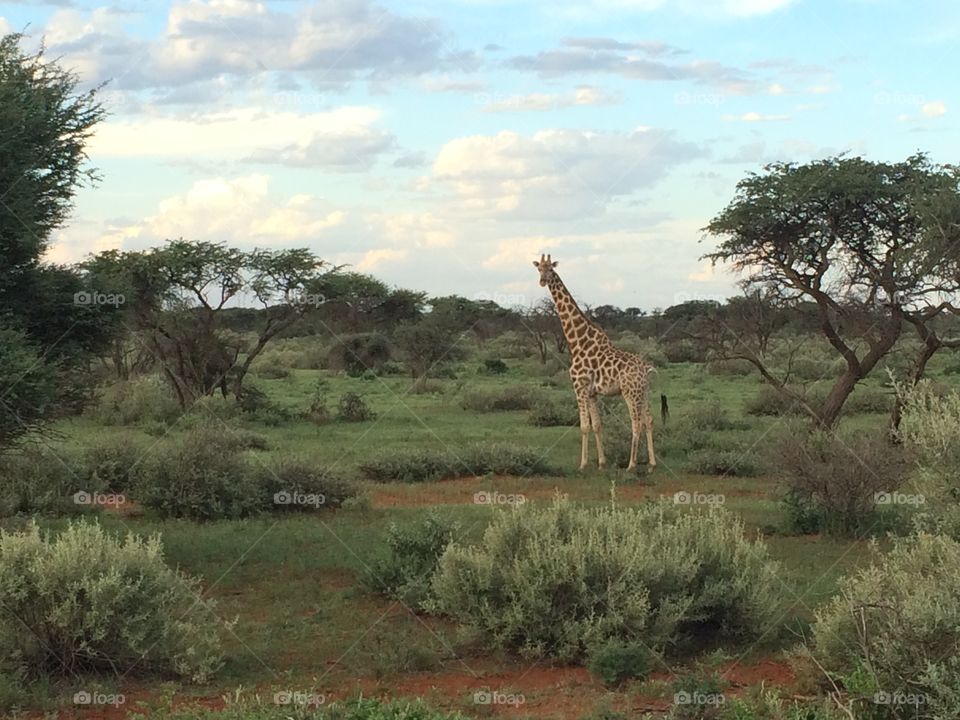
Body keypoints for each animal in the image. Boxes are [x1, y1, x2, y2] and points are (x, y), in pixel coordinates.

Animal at [533, 254, 657, 472]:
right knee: (648, 420)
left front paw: (582, 464)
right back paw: (652, 463)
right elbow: (597, 425)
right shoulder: (591, 392)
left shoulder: (579, 386)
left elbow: (584, 426)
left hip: (630, 392)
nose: (542, 281)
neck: (577, 341)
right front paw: (601, 463)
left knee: (636, 422)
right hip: (644, 392)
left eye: (550, 269)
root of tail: (646, 369)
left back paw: (631, 464)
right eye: (539, 268)